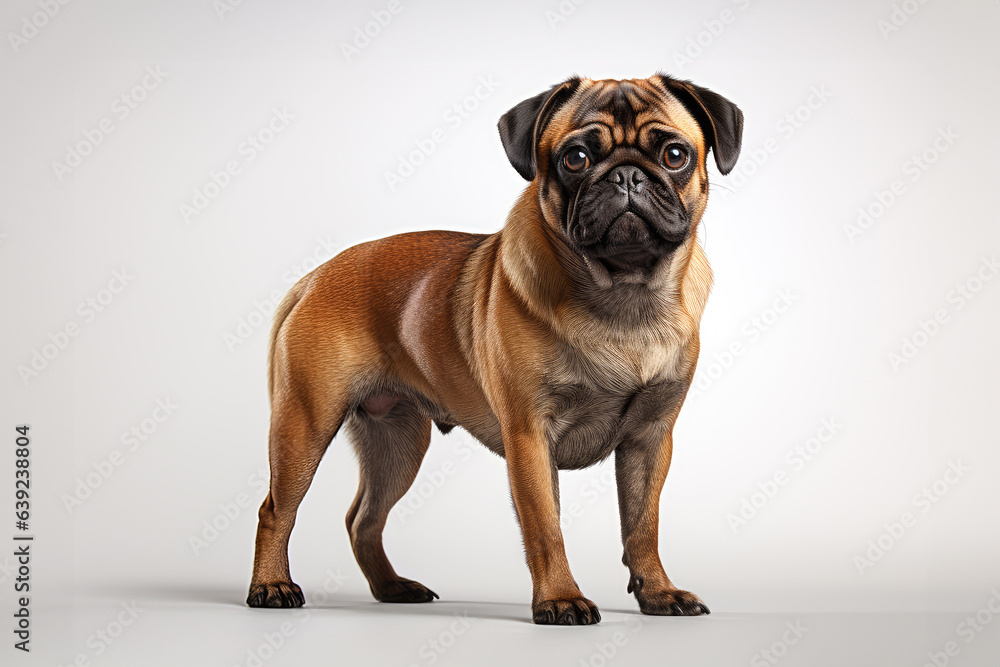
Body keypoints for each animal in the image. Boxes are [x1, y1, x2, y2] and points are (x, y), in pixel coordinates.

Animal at [246, 74, 740, 628]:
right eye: (575, 159)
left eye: (675, 155)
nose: (627, 176)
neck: (624, 297)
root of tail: (314, 277)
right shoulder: (529, 436)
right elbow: (546, 526)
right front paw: (560, 599)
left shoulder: (650, 440)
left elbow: (643, 525)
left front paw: (658, 592)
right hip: (305, 426)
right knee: (276, 511)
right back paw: (271, 586)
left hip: (397, 442)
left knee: (363, 519)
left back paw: (392, 588)